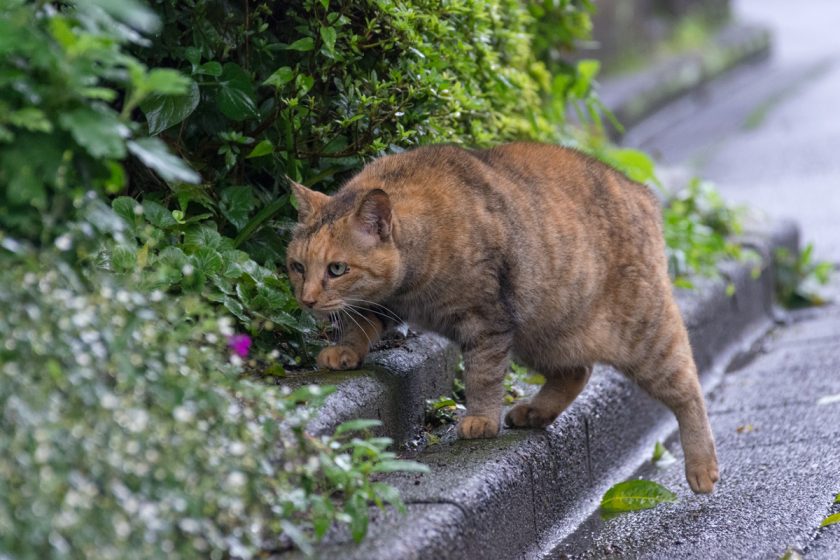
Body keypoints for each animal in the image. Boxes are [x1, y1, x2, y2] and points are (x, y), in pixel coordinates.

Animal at [286, 142, 720, 492]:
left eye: (337, 269)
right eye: (297, 267)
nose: (307, 300)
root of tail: (641, 192)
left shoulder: (486, 321)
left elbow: (482, 374)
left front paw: (480, 419)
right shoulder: (386, 302)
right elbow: (358, 325)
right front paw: (344, 352)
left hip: (643, 335)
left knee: (688, 387)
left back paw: (702, 467)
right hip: (541, 334)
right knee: (577, 372)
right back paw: (534, 411)